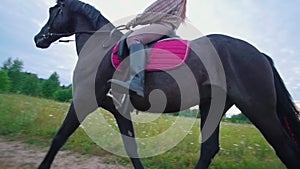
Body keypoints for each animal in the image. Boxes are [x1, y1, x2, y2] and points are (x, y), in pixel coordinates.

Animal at [34, 0, 298, 169]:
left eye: (53, 11)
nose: (38, 39)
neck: (99, 48)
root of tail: (260, 54)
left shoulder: (83, 100)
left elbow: (59, 137)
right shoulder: (116, 107)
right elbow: (131, 146)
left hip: (259, 109)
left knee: (285, 147)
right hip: (212, 105)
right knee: (209, 149)